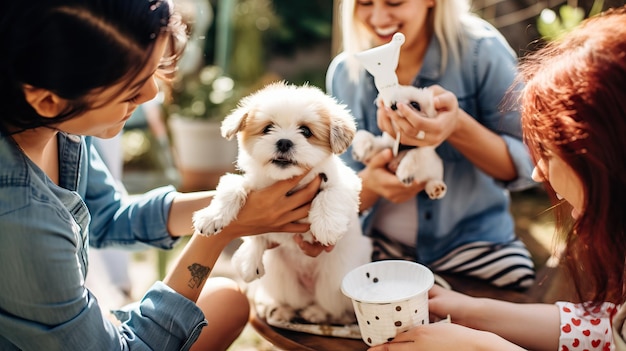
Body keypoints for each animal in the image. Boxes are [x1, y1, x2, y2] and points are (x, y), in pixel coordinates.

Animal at [193, 81, 370, 326]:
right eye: (268, 128)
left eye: (305, 131)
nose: (284, 142)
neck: (286, 180)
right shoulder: (251, 183)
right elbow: (232, 188)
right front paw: (212, 218)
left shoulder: (346, 183)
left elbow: (329, 194)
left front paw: (326, 227)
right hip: (281, 277)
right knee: (292, 300)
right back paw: (281, 309)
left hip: (333, 280)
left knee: (334, 308)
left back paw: (317, 313)